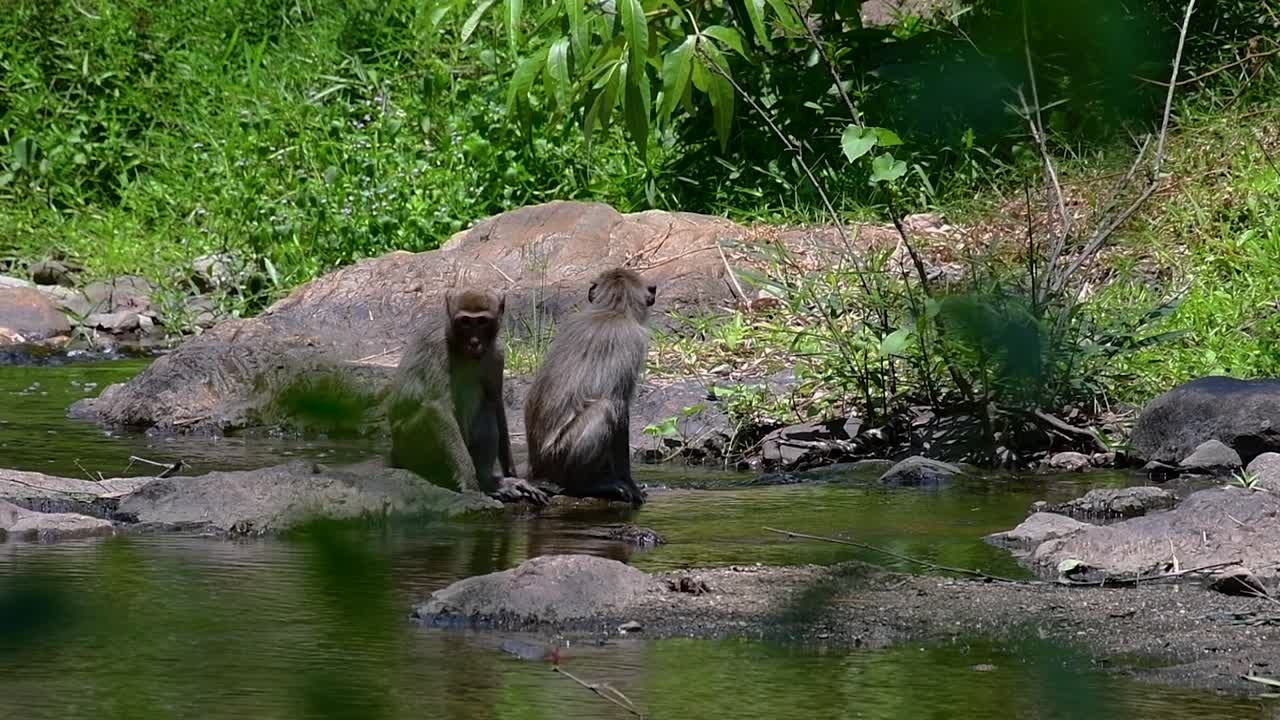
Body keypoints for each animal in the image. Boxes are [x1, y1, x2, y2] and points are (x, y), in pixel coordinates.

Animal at [388, 288, 549, 505]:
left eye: (481, 321)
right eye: (465, 321)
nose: (474, 342)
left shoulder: (497, 353)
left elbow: (496, 402)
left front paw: (511, 473)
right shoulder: (438, 346)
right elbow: (439, 407)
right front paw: (470, 482)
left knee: (486, 407)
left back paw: (489, 482)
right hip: (408, 445)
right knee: (432, 414)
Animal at [523, 268, 657, 506]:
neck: (612, 310)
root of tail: (536, 466)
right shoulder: (632, 340)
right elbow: (619, 406)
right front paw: (630, 484)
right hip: (558, 456)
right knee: (605, 409)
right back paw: (585, 486)